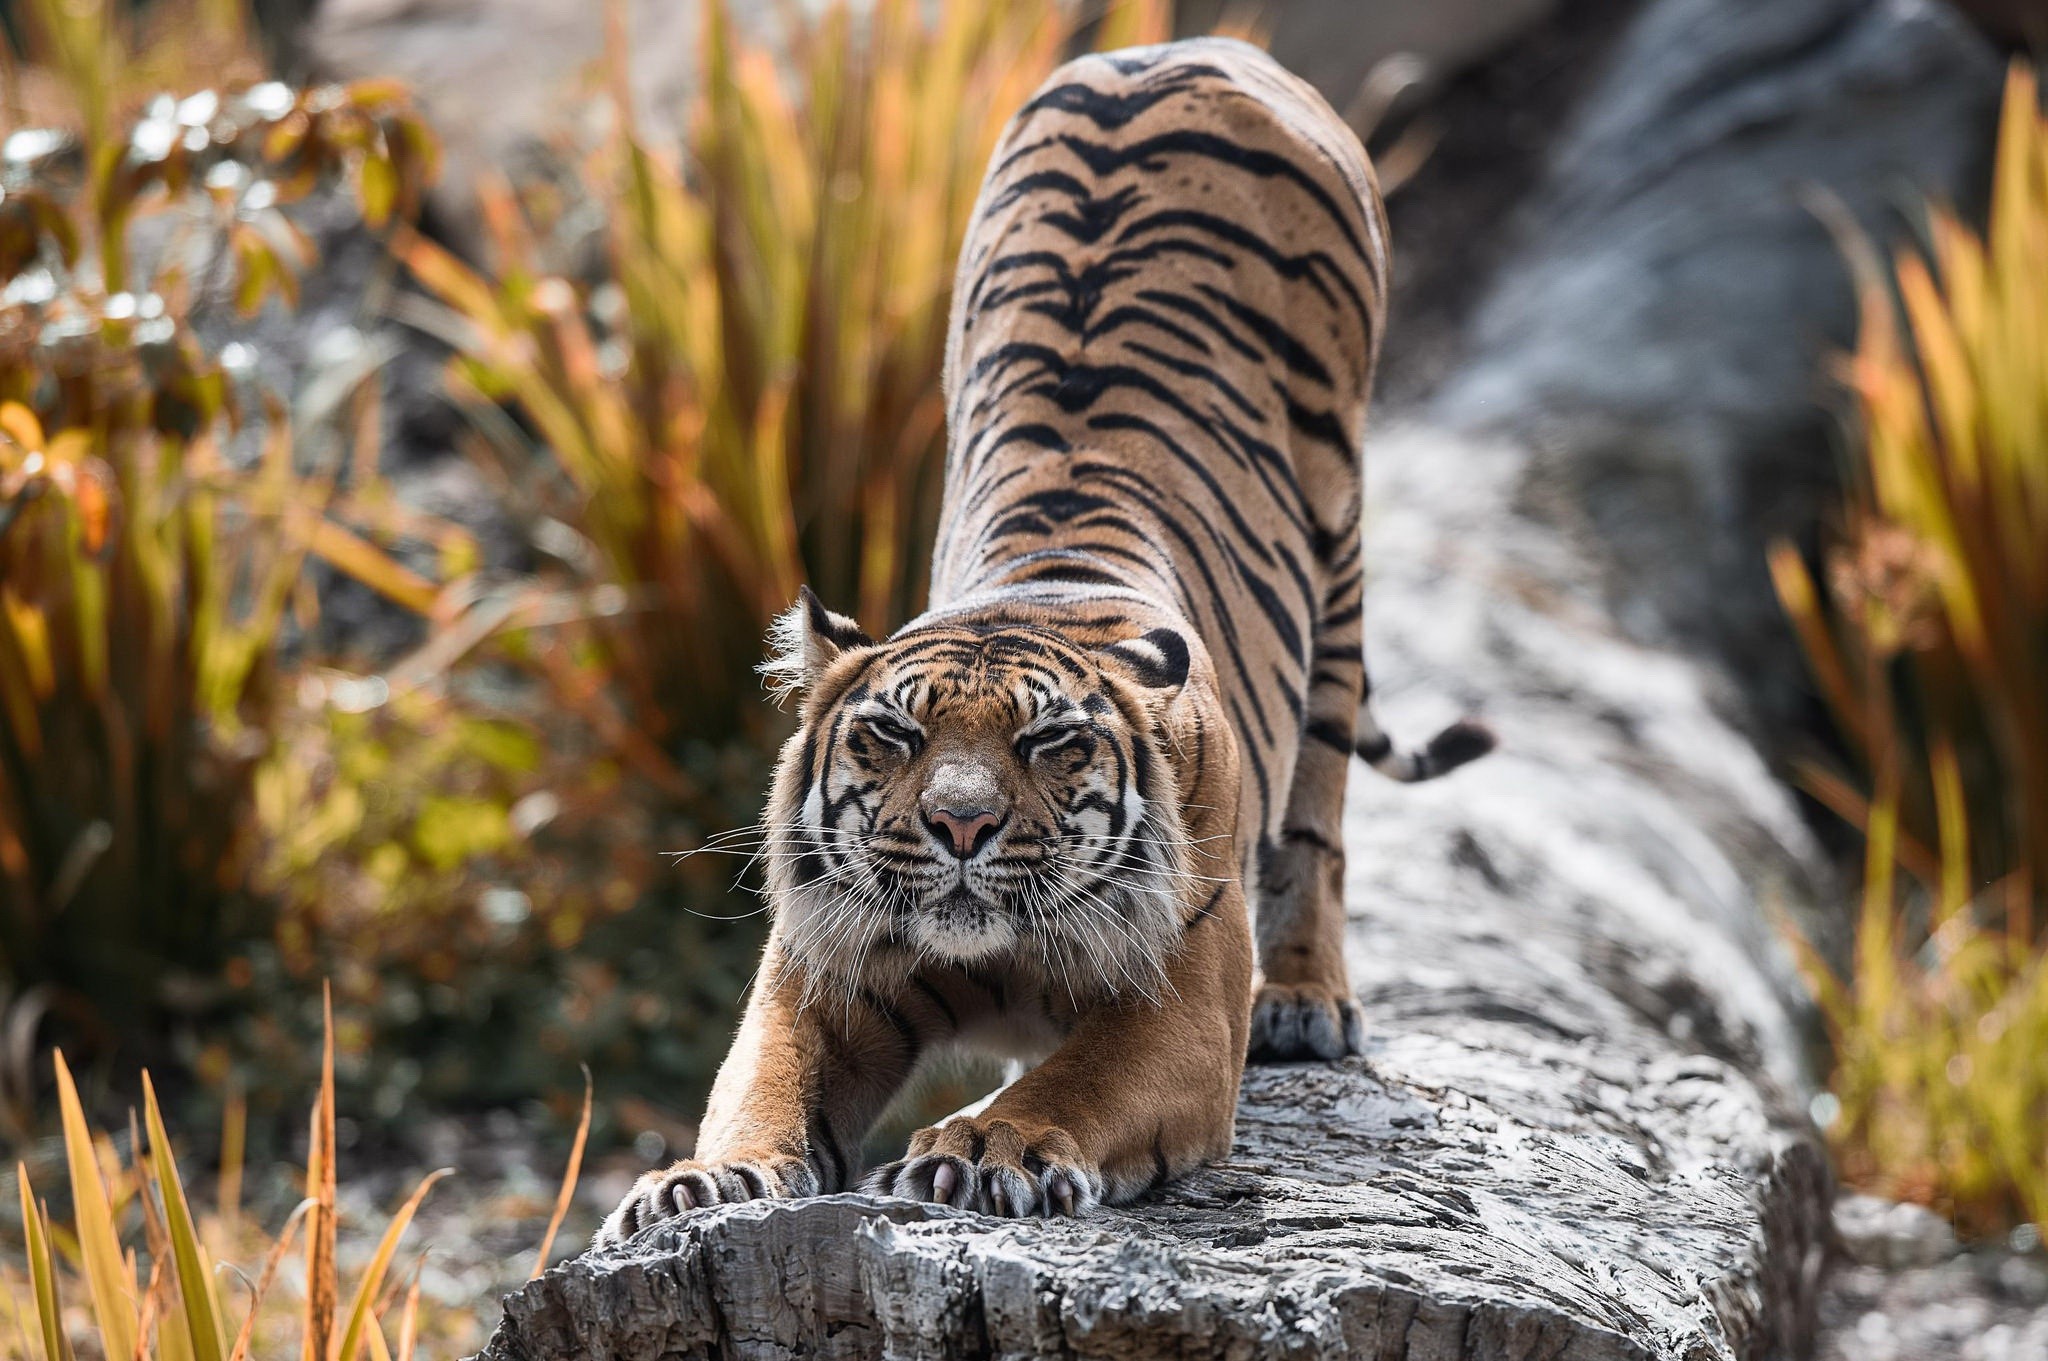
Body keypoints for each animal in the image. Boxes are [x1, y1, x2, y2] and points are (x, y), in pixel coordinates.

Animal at [598, 36, 1490, 1242]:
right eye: (892, 735)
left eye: (1049, 742)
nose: (960, 827)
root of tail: (1187, 47)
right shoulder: (822, 972)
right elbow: (761, 1082)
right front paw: (700, 1179)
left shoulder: (1182, 1006)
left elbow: (1077, 1079)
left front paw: (981, 1147)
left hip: (1339, 536)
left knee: (1322, 804)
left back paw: (1307, 999)